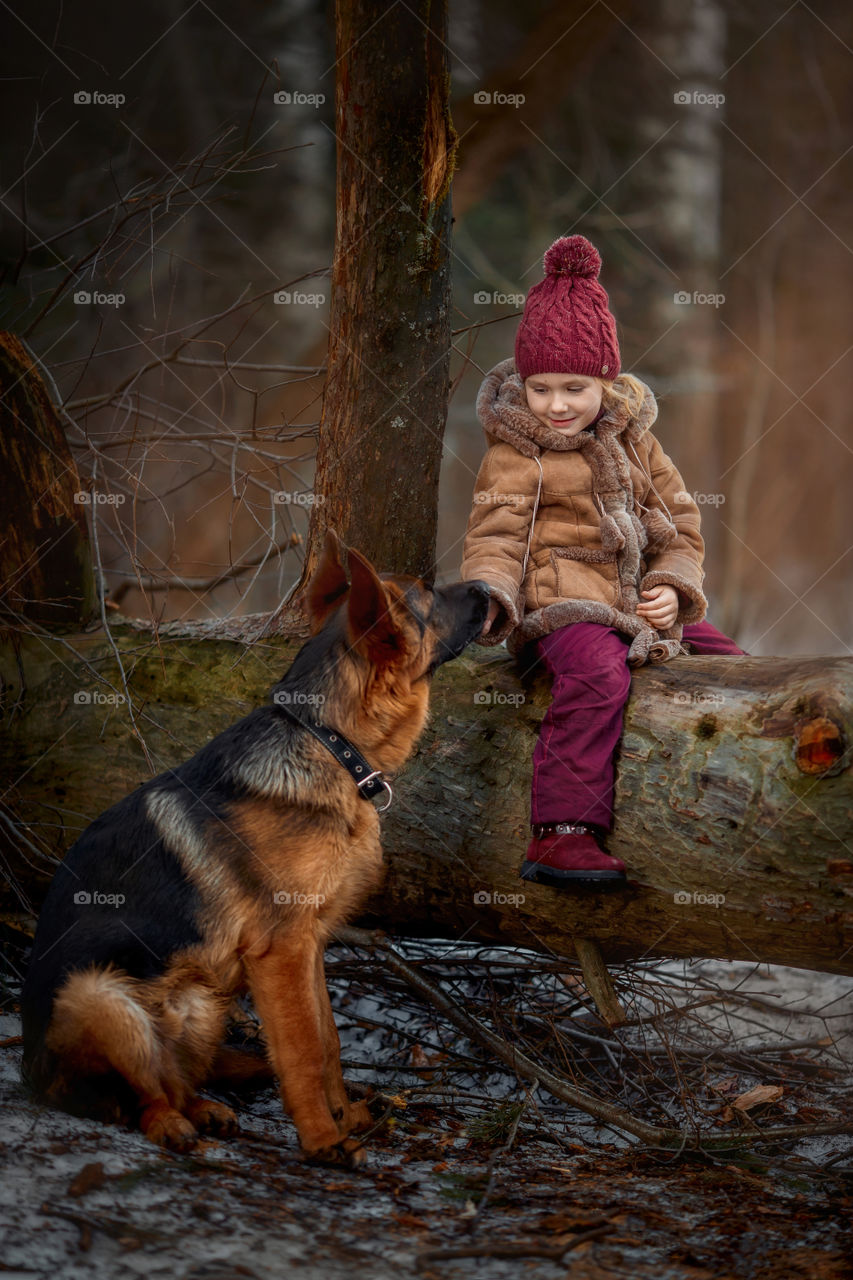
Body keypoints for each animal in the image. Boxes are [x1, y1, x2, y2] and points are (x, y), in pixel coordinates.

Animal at [23, 532, 489, 1172]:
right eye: (426, 593)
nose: (489, 588)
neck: (328, 742)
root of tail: (28, 1071)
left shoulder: (310, 944)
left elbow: (327, 1040)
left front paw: (346, 1117)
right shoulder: (281, 951)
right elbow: (300, 1050)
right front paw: (321, 1139)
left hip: (202, 1002)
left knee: (172, 1080)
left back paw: (202, 1109)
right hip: (102, 996)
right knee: (137, 1096)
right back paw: (171, 1125)